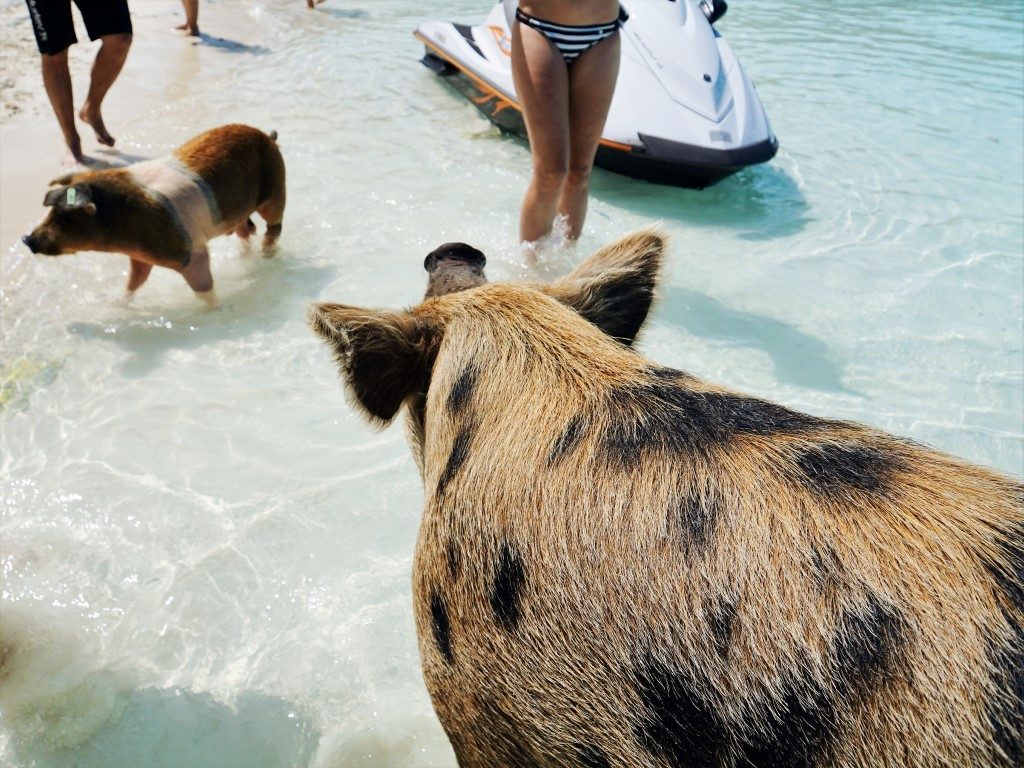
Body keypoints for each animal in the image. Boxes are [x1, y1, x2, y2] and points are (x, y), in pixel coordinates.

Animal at [22, 123, 286, 307]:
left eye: (65, 217)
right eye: (50, 211)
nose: (27, 239)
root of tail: (267, 136)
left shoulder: (194, 252)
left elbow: (204, 290)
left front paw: (219, 310)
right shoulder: (140, 257)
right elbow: (134, 282)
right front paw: (114, 303)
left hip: (276, 189)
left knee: (273, 226)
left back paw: (267, 255)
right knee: (244, 232)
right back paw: (245, 257)